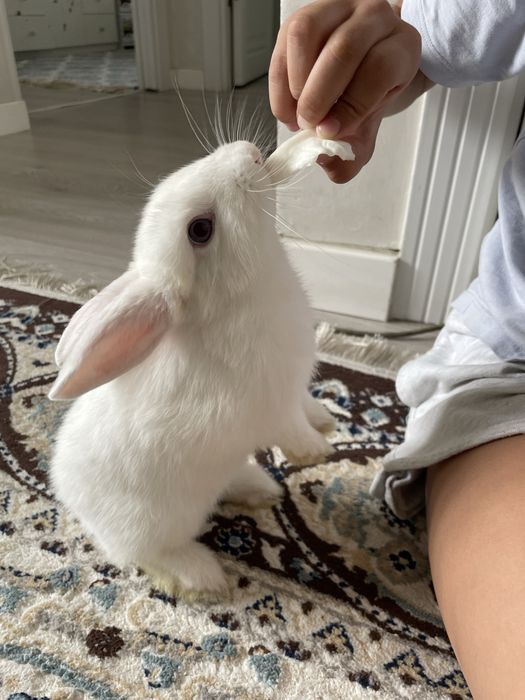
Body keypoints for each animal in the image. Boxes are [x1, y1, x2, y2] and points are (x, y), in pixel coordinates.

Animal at [48, 131, 352, 600]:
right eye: (200, 230)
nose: (250, 154)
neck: (240, 300)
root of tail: (69, 496)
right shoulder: (274, 407)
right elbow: (292, 430)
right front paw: (318, 449)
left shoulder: (294, 388)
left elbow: (306, 406)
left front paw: (325, 421)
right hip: (155, 526)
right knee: (142, 555)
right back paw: (203, 576)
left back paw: (261, 489)